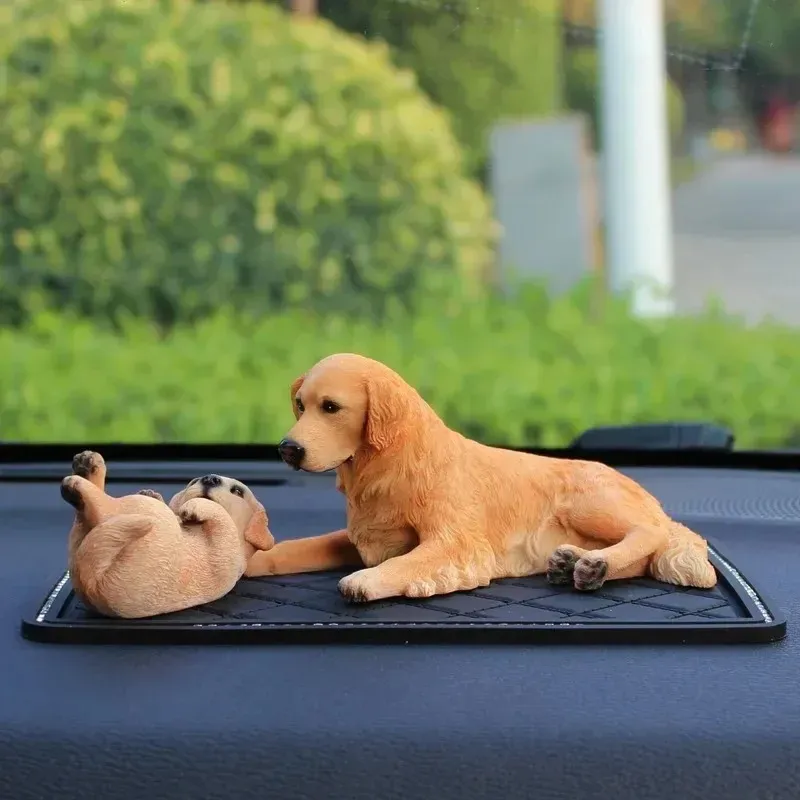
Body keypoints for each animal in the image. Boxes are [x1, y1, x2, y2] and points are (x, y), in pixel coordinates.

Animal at [63, 450, 276, 620]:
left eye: (238, 491)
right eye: (193, 481)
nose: (209, 478)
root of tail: (91, 583)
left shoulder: (228, 546)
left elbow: (219, 516)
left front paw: (194, 506)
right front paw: (155, 494)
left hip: (135, 513)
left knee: (100, 504)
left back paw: (80, 477)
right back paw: (87, 468)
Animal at [245, 354, 720, 604]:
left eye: (331, 407)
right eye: (300, 405)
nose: (287, 449)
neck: (390, 466)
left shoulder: (457, 541)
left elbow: (409, 561)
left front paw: (366, 580)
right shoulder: (362, 534)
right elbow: (302, 546)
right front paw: (254, 559)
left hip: (587, 500)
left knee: (650, 533)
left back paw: (593, 565)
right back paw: (577, 564)